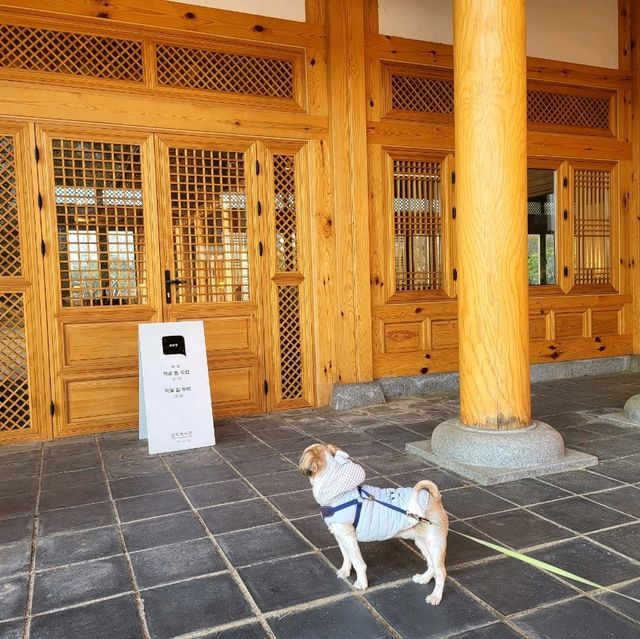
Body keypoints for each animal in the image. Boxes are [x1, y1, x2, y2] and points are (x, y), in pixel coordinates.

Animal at [300, 442, 450, 608]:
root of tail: (434, 498)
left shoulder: (349, 538)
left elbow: (358, 563)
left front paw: (361, 582)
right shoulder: (340, 536)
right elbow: (346, 556)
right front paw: (345, 571)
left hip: (435, 545)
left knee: (441, 572)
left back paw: (436, 596)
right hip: (422, 543)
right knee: (431, 565)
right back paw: (424, 578)